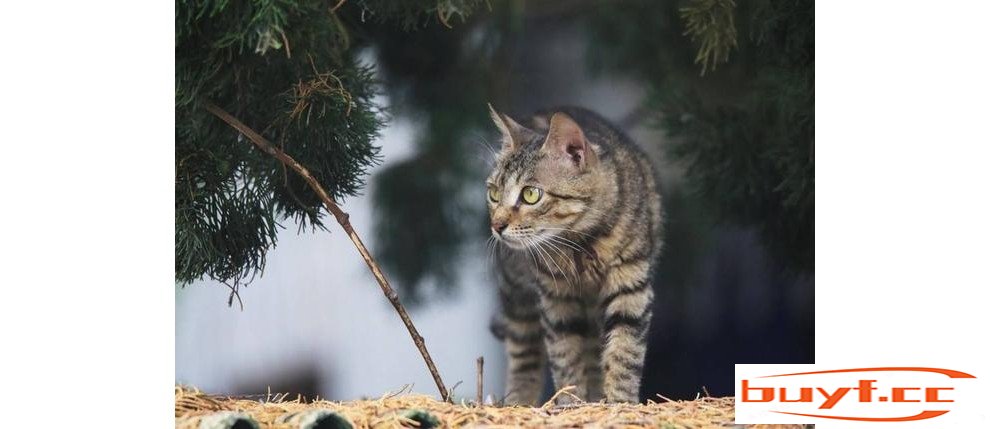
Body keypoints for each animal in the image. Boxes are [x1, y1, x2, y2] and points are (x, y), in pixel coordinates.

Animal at [488, 105, 668, 402]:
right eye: (493, 193)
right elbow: (565, 356)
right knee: (524, 351)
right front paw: (570, 401)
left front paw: (619, 401)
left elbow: (624, 351)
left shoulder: (631, 284)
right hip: (516, 292)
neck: (581, 242)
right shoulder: (555, 297)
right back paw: (519, 400)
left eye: (530, 194)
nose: (497, 225)